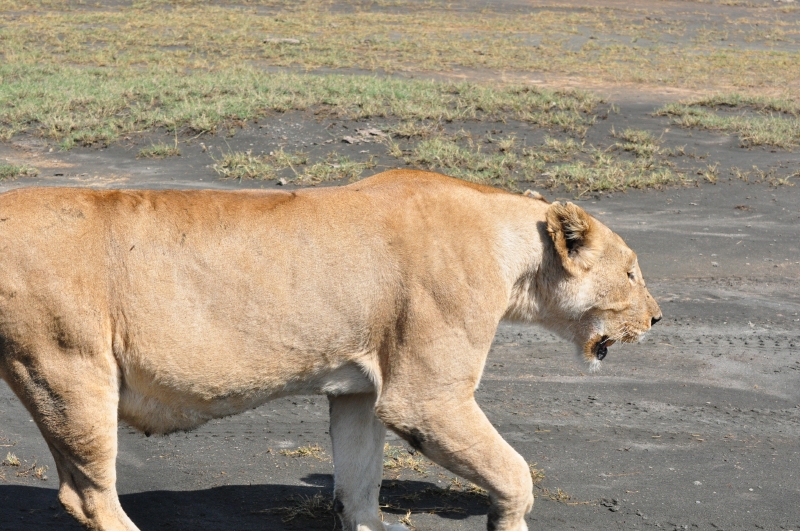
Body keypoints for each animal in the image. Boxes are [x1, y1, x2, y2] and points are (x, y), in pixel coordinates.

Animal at [0, 169, 660, 531]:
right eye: (632, 272)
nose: (657, 317)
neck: (512, 254)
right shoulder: (425, 398)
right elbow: (515, 471)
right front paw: (509, 518)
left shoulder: (362, 392)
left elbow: (359, 483)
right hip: (69, 371)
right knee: (88, 495)